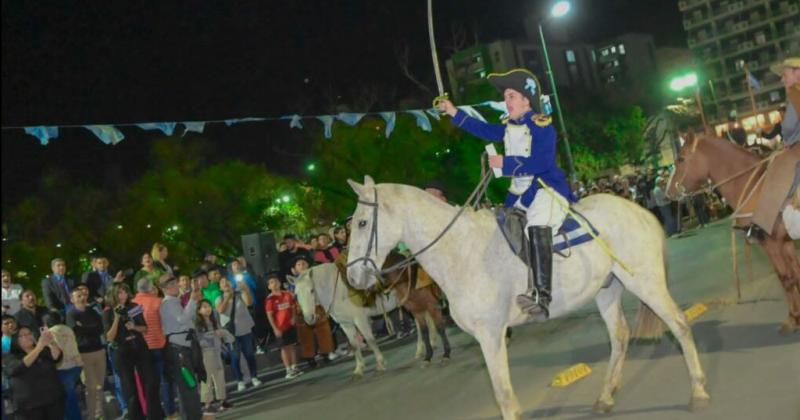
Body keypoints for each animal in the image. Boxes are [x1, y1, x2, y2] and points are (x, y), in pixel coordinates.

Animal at [288, 262, 438, 378]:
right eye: (296, 294)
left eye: (312, 290)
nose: (309, 318)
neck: (338, 291)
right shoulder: (346, 324)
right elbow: (354, 345)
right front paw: (359, 369)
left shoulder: (360, 320)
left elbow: (370, 340)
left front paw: (380, 364)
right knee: (422, 320)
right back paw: (425, 347)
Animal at [346, 176, 708, 420]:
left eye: (362, 223)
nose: (352, 277)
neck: (462, 250)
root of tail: (637, 210)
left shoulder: (490, 334)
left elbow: (503, 394)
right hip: (608, 290)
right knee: (619, 336)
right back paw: (605, 398)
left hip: (645, 282)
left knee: (679, 324)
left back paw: (699, 392)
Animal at [668, 135, 800, 334]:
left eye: (681, 159)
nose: (668, 192)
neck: (755, 186)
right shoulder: (786, 242)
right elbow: (796, 274)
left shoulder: (771, 243)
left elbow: (786, 278)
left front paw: (793, 318)